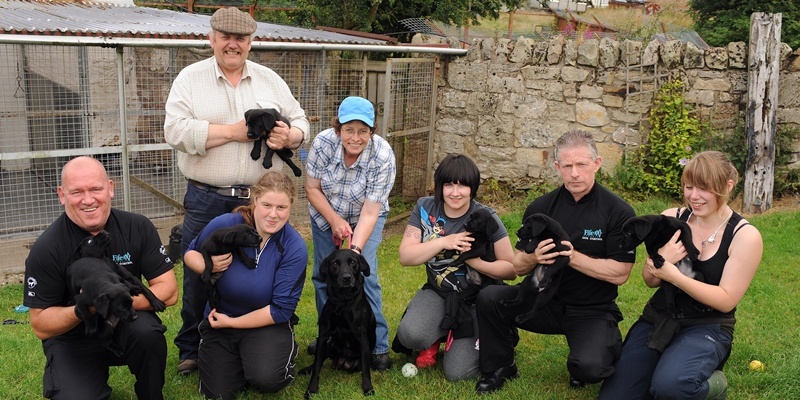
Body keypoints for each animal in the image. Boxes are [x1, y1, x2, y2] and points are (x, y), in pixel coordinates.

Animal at [302, 248, 376, 398]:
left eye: (353, 262)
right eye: (335, 263)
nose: (346, 278)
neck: (343, 301)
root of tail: (344, 362)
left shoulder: (362, 338)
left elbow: (366, 370)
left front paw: (368, 388)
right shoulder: (323, 336)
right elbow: (317, 366)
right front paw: (311, 389)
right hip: (329, 346)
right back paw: (307, 369)